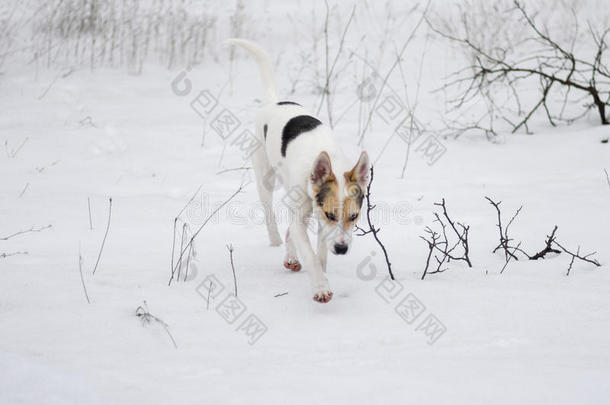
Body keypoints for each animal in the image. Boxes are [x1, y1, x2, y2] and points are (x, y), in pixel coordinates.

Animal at [226, 38, 368, 304]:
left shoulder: (319, 219)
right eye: (332, 214)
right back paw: (276, 241)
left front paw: (321, 271)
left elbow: (319, 250)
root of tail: (273, 101)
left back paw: (290, 256)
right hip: (266, 178)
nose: (342, 248)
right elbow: (309, 252)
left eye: (354, 216)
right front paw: (320, 286)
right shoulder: (311, 213)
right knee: (271, 215)